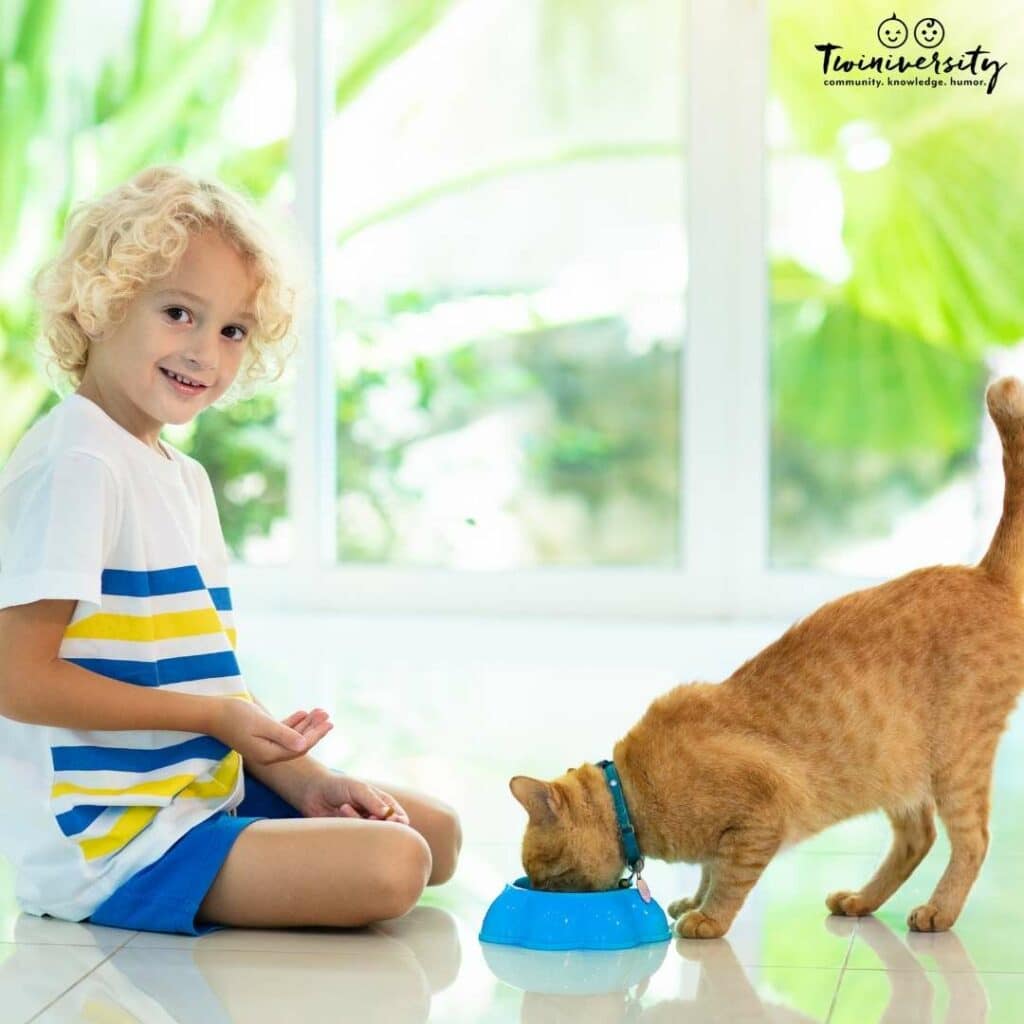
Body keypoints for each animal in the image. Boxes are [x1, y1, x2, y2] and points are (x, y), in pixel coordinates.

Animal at [512, 374, 1024, 937]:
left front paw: (707, 919)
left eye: (543, 870)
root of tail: (984, 574)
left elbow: (729, 878)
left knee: (972, 841)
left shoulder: (760, 817)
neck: (633, 792)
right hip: (899, 772)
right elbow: (710, 869)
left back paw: (940, 910)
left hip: (958, 762)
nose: (533, 889)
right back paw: (861, 900)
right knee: (919, 838)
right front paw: (693, 901)